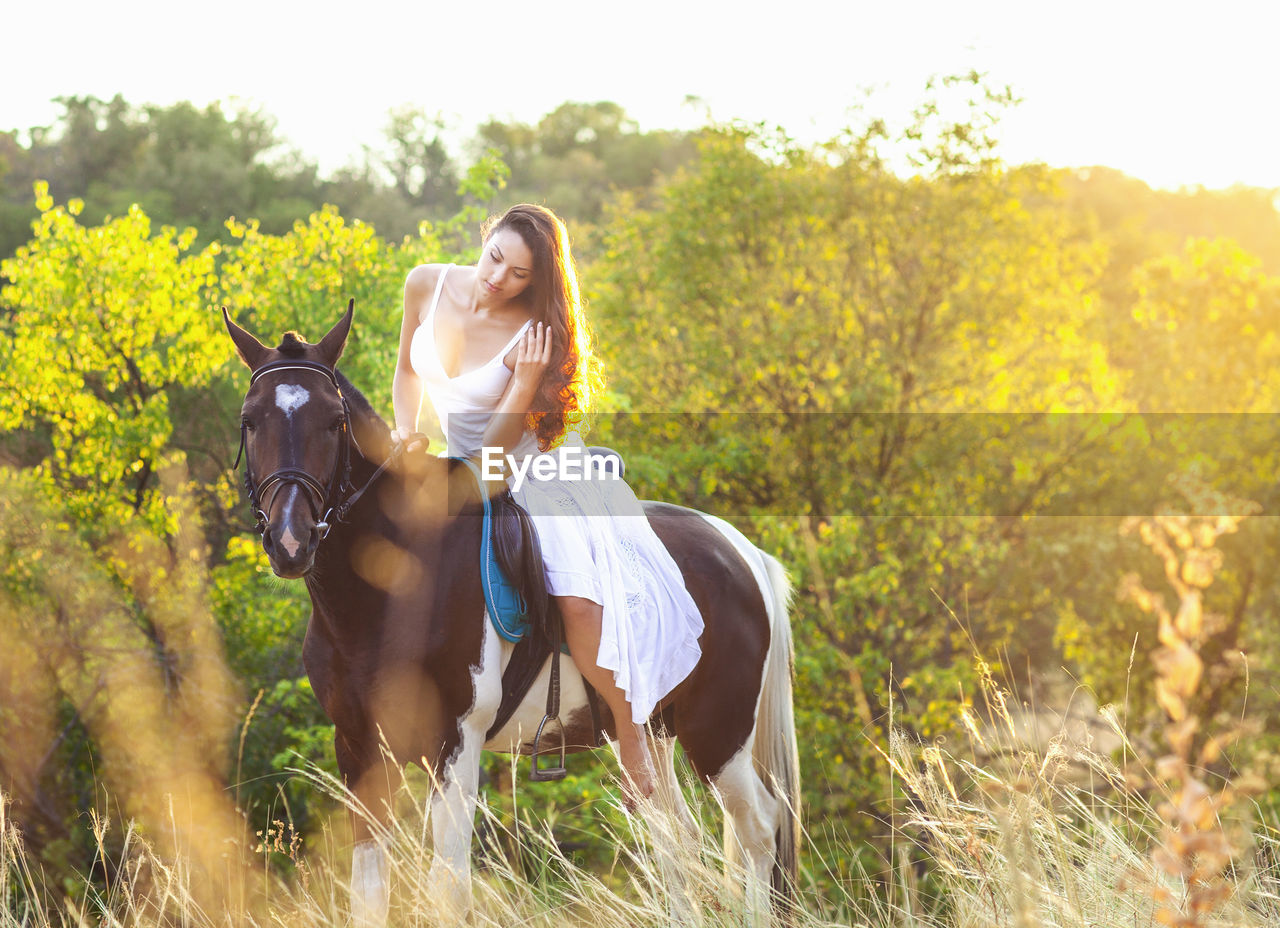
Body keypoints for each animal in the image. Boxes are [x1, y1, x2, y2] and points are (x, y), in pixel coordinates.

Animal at [222, 305, 798, 926]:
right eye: (250, 421)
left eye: (333, 422)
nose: (290, 541)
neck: (392, 587)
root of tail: (740, 551)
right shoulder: (358, 748)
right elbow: (368, 893)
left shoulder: (454, 743)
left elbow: (447, 887)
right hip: (650, 731)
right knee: (677, 838)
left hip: (719, 732)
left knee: (757, 829)